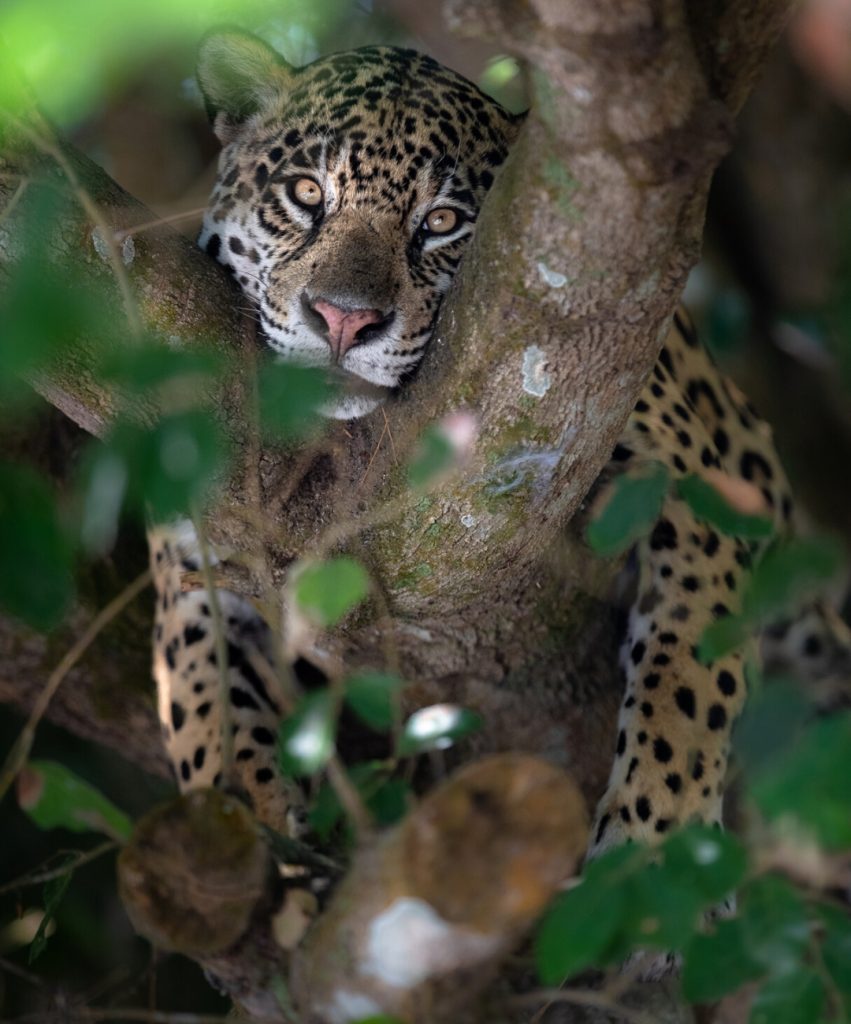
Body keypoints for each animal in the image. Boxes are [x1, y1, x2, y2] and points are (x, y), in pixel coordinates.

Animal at [149, 31, 848, 870]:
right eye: (308, 194)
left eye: (443, 220)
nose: (344, 320)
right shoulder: (190, 557)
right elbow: (201, 704)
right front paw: (249, 826)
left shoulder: (692, 482)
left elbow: (687, 669)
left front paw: (652, 841)